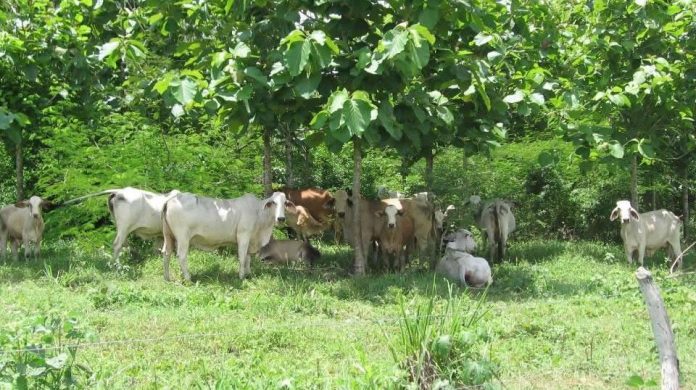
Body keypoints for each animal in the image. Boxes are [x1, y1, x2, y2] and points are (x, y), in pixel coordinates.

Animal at [161, 191, 294, 280]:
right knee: (181, 256)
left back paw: (167, 277)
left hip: (168, 236)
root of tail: (170, 199)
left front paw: (249, 273)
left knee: (166, 253)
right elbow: (242, 256)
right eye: (273, 202)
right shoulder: (243, 235)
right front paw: (241, 276)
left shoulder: (251, 240)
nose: (281, 218)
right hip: (183, 237)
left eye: (285, 203)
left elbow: (248, 258)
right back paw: (188, 277)